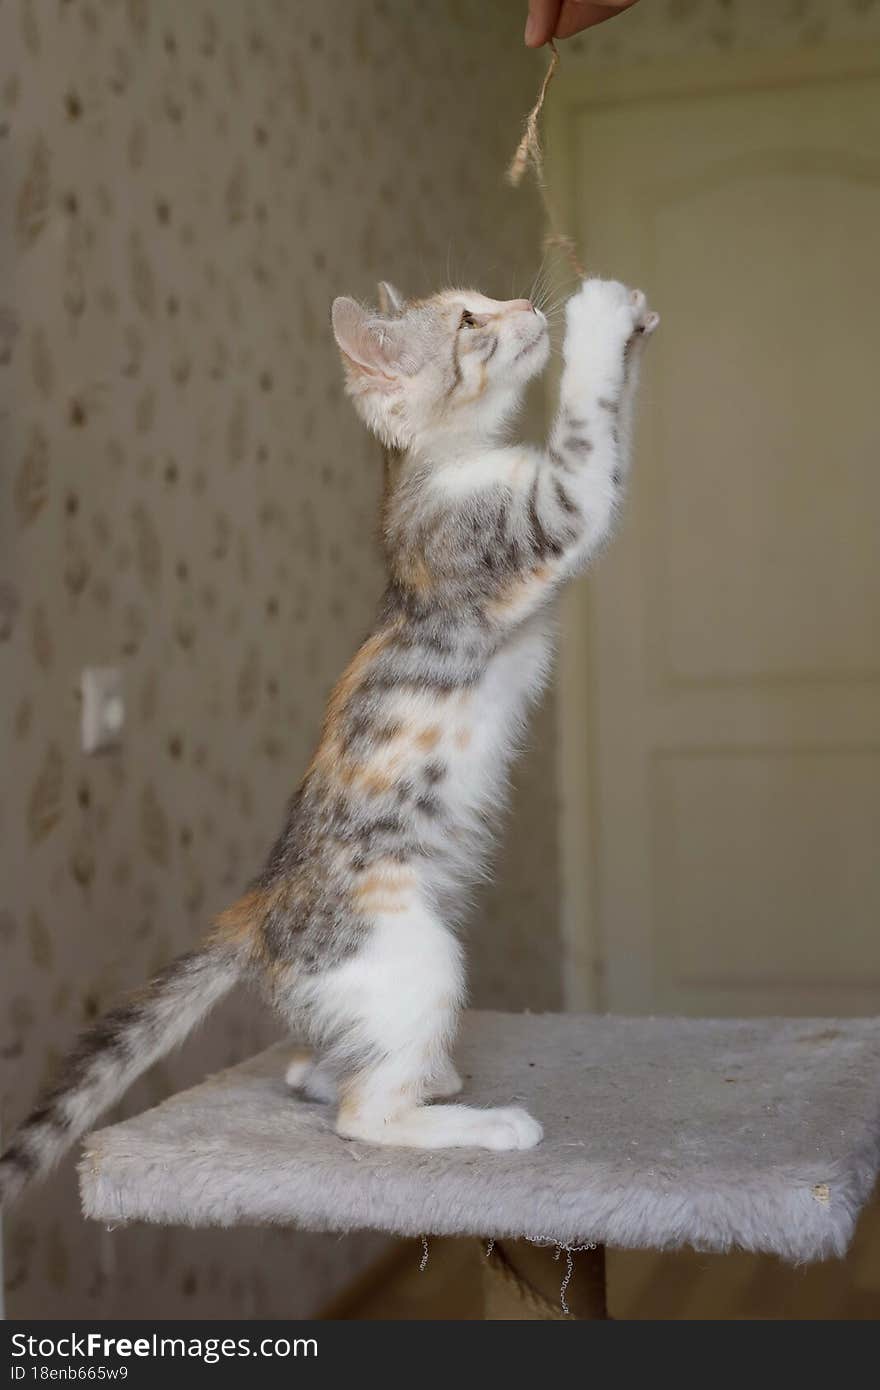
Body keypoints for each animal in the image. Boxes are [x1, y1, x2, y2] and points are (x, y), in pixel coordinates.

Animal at [0, 273, 656, 1195]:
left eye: (487, 299)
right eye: (470, 322)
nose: (528, 308)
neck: (447, 464)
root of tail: (260, 906)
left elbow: (612, 438)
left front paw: (628, 322)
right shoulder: (536, 518)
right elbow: (587, 443)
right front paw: (598, 322)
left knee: (319, 1071)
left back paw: (419, 1079)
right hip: (415, 957)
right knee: (360, 1114)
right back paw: (483, 1124)